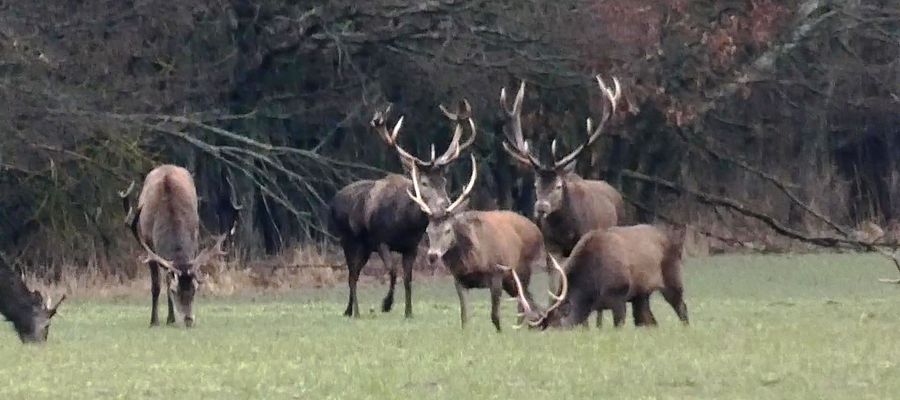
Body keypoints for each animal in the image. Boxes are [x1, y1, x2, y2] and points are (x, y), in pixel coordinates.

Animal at [118, 164, 239, 326]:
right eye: (175, 291)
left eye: (195, 289)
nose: (189, 319)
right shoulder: (148, 244)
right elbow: (156, 286)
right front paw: (154, 321)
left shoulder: (194, 240)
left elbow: (169, 280)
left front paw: (171, 319)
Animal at [330, 102, 478, 318]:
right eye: (423, 182)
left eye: (443, 180)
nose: (445, 203)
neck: (405, 223)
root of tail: (333, 201)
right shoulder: (380, 240)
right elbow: (392, 271)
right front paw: (386, 304)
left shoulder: (411, 246)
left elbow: (408, 278)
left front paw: (409, 312)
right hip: (347, 240)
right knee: (352, 276)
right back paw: (355, 311)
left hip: (364, 247)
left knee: (354, 274)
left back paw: (348, 310)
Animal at [406, 154, 556, 332]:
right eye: (428, 231)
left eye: (448, 230)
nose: (432, 255)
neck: (473, 260)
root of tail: (536, 230)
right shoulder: (459, 279)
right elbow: (464, 316)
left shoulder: (497, 272)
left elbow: (495, 316)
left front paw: (500, 333)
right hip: (511, 280)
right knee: (529, 301)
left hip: (523, 268)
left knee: (524, 301)